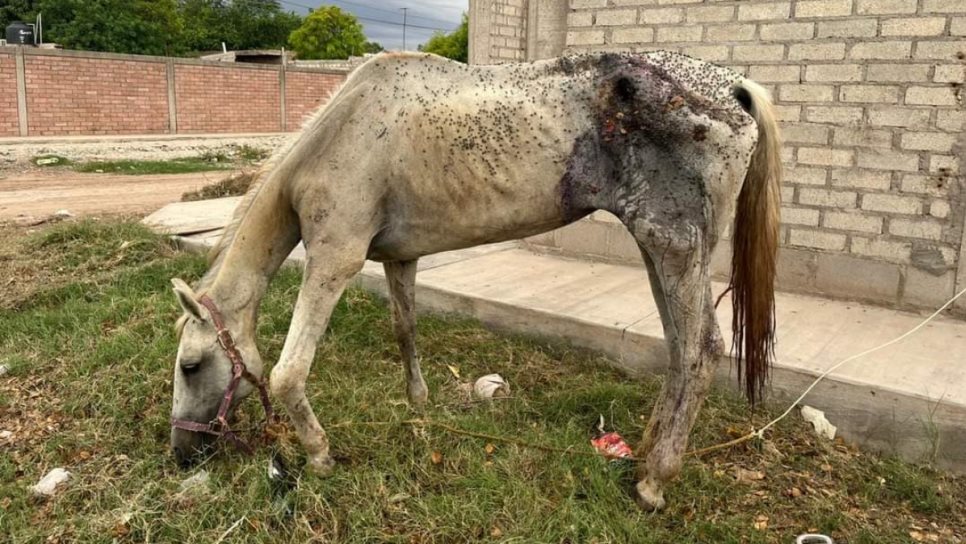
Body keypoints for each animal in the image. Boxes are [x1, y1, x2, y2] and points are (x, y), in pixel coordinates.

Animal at [170, 50, 784, 510]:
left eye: (190, 365)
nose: (180, 452)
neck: (343, 133)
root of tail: (733, 88)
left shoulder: (334, 261)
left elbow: (289, 372)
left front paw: (320, 456)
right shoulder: (400, 258)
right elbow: (405, 329)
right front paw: (419, 406)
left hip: (674, 246)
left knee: (702, 350)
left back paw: (655, 482)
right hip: (660, 250)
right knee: (679, 350)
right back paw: (650, 451)